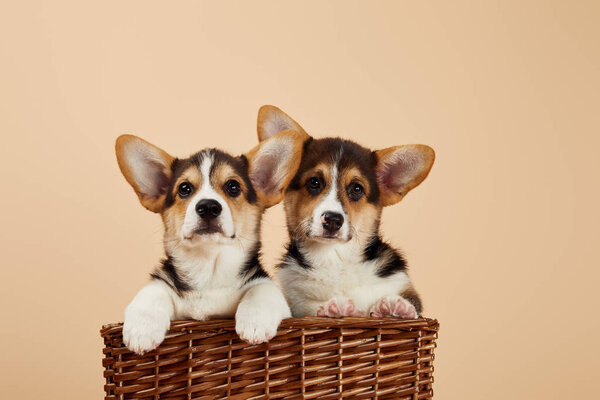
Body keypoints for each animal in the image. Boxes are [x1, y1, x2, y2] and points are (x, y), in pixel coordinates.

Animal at [115, 129, 308, 354]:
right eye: (184, 188)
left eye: (233, 186)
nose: (208, 207)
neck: (209, 267)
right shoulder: (164, 283)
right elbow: (151, 292)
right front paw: (141, 331)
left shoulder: (263, 284)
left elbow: (262, 291)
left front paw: (255, 324)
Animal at [255, 105, 434, 318]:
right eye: (314, 182)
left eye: (356, 189)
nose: (333, 220)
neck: (334, 259)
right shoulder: (297, 307)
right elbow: (311, 310)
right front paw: (336, 307)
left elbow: (411, 303)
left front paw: (395, 307)